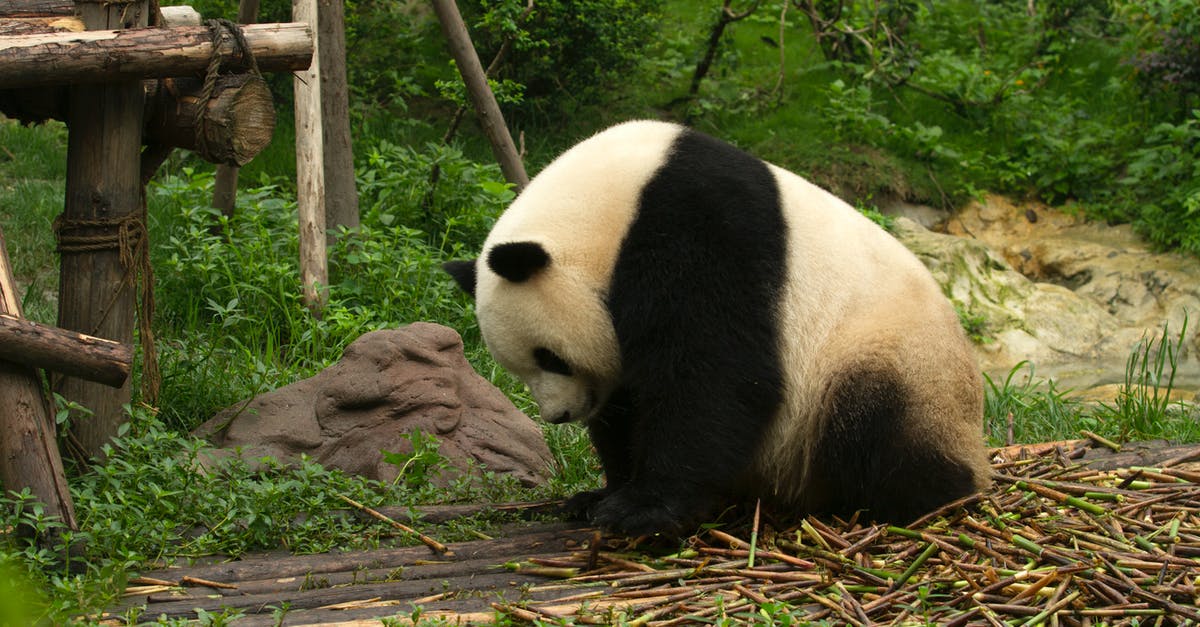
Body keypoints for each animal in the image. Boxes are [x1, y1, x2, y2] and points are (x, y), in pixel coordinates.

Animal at [446, 119, 988, 533]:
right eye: (520, 370)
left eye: (549, 357)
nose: (559, 416)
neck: (610, 204)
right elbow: (628, 400)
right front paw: (600, 496)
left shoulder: (700, 228)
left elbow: (715, 375)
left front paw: (640, 511)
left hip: (896, 361)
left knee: (876, 424)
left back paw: (911, 499)